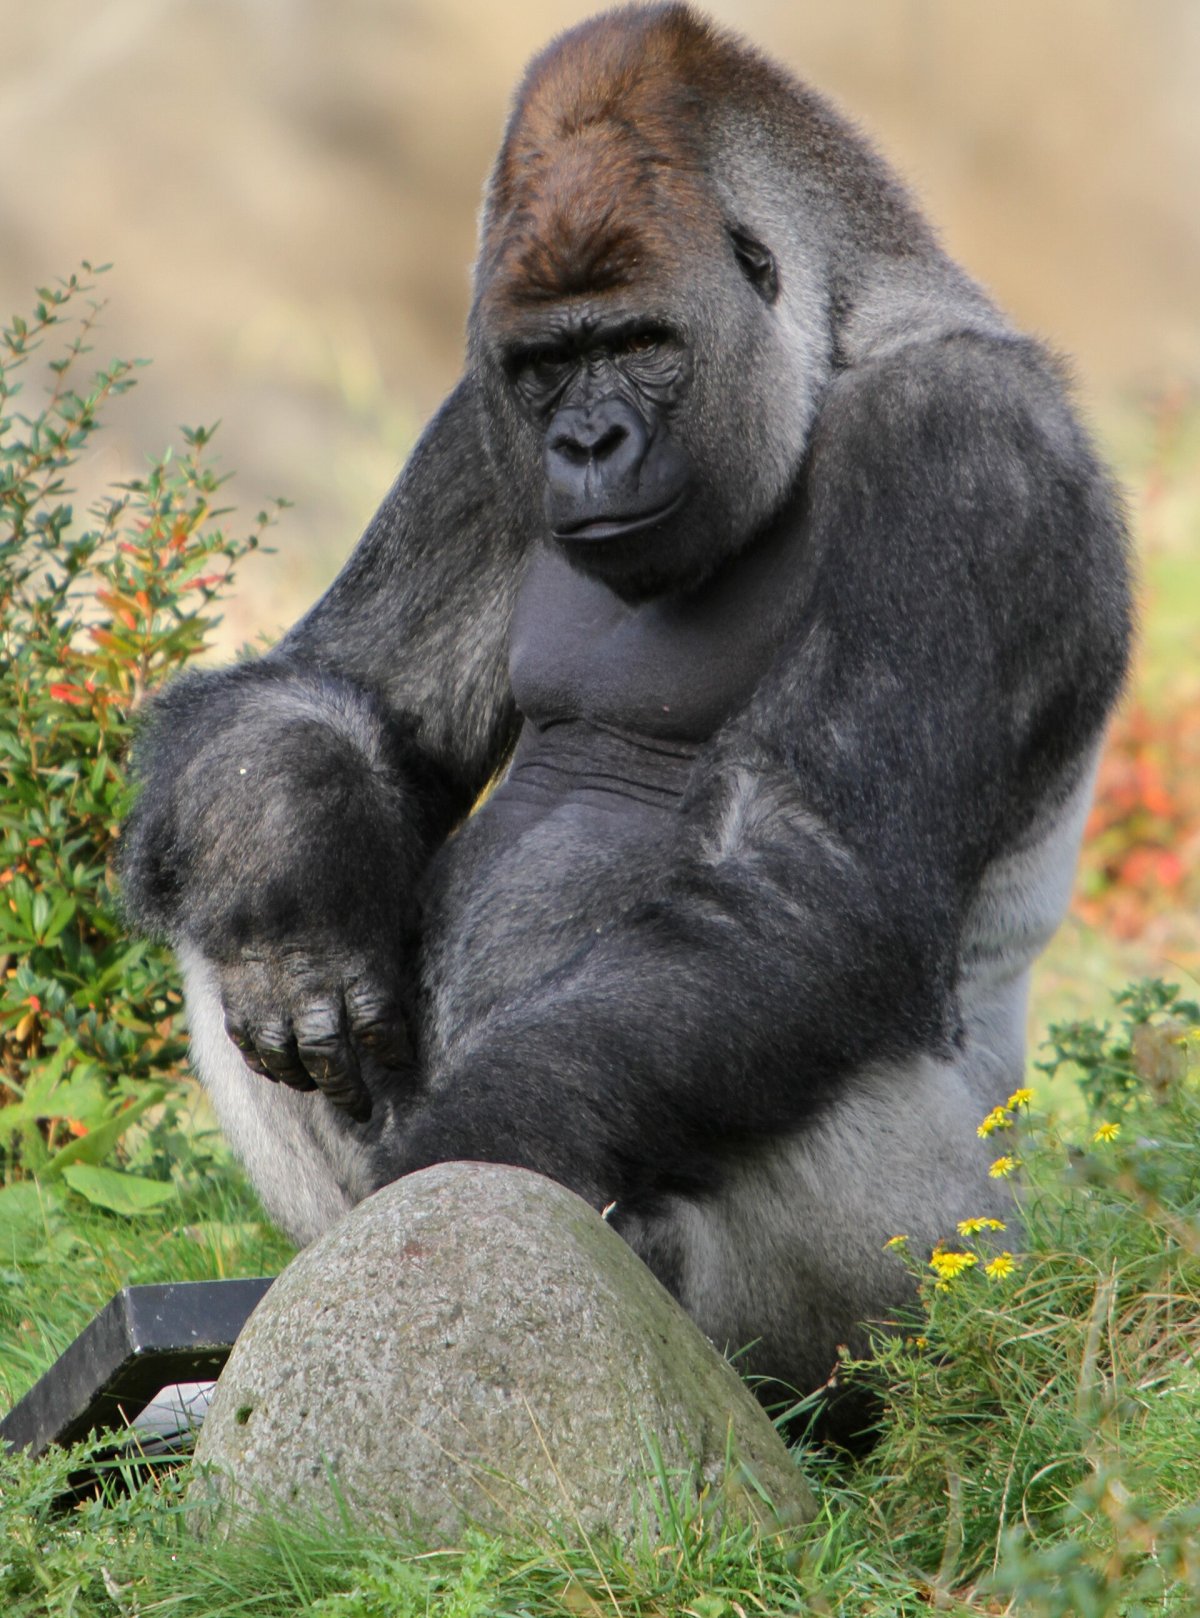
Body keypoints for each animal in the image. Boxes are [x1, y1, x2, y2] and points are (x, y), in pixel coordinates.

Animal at [120, 4, 1130, 1436]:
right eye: (550, 366)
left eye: (643, 344)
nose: (588, 444)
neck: (836, 337)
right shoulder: (476, 422)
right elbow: (330, 693)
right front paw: (294, 897)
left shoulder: (965, 443)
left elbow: (804, 878)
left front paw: (476, 1150)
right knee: (227, 887)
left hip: (959, 1269)